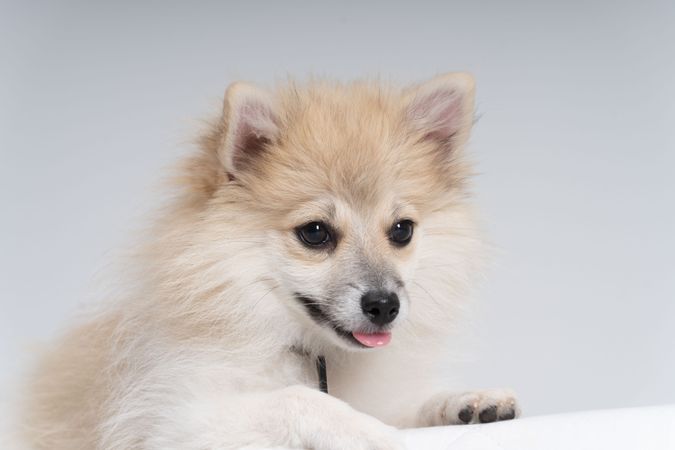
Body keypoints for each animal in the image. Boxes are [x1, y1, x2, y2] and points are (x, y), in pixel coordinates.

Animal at [19, 74, 516, 450]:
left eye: (401, 231)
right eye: (315, 232)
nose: (384, 306)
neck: (311, 350)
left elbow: (412, 405)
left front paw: (467, 401)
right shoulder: (170, 419)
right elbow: (294, 399)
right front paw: (363, 429)